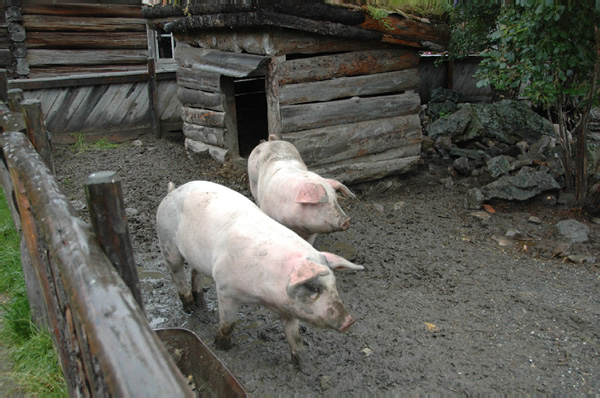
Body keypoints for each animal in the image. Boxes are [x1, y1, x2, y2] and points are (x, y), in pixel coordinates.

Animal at [155, 182, 364, 368]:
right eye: (314, 287)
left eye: (334, 284)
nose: (349, 321)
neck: (264, 295)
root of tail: (173, 191)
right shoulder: (225, 290)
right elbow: (229, 324)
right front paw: (221, 348)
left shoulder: (288, 307)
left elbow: (295, 337)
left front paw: (304, 367)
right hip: (167, 243)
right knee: (177, 274)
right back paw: (190, 308)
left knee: (195, 272)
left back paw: (201, 306)